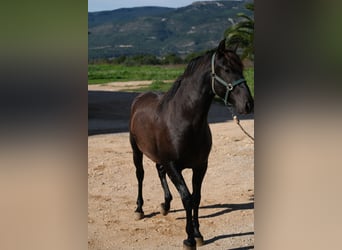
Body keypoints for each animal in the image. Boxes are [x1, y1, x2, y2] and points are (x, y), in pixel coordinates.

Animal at [128, 40, 254, 249]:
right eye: (227, 69)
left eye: (242, 68)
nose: (248, 104)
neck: (183, 119)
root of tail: (139, 98)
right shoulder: (173, 166)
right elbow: (187, 198)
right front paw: (188, 238)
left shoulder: (200, 166)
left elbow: (196, 198)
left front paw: (197, 233)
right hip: (136, 150)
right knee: (140, 175)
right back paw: (139, 209)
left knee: (159, 171)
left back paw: (166, 205)